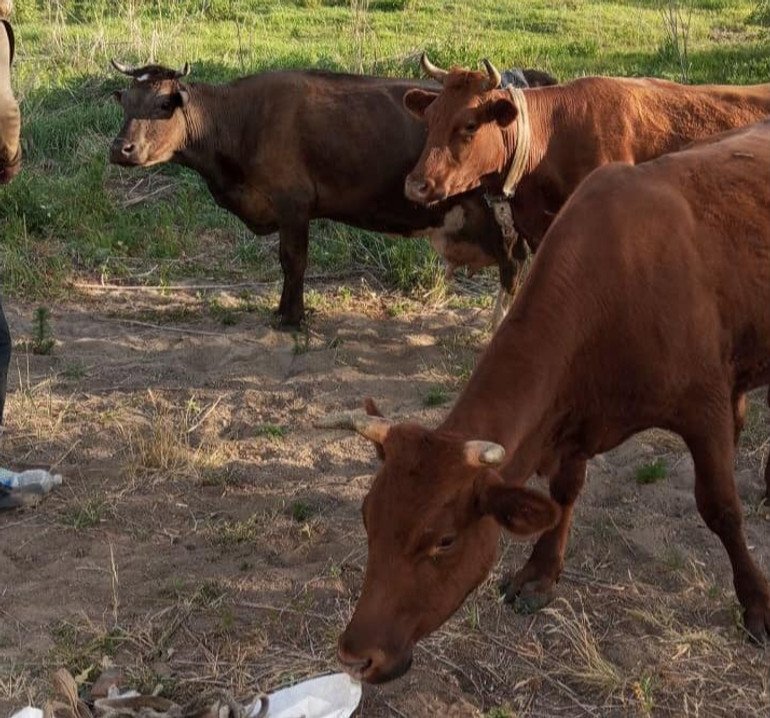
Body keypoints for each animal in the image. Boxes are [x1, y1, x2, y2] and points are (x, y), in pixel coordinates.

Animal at [108, 62, 557, 327]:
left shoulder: (293, 204)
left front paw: (291, 318)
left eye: (163, 103)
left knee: (514, 266)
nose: (120, 149)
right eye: (126, 102)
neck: (241, 120)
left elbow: (293, 261)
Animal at [319, 120, 770, 684]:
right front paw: (540, 572)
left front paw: (756, 603)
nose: (356, 655)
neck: (616, 287)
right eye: (367, 518)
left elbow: (722, 509)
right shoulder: (571, 416)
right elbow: (562, 494)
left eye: (444, 540)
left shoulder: (703, 405)